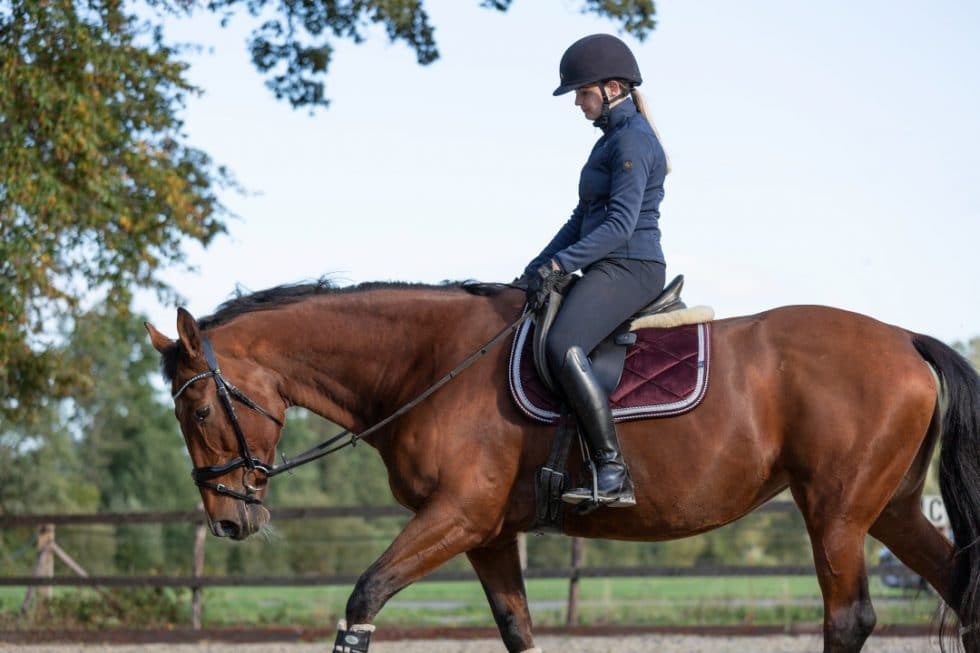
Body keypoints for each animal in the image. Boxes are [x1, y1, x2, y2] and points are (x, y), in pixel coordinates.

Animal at [144, 280, 980, 653]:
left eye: (198, 410)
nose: (229, 519)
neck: (428, 364)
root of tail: (907, 339)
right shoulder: (484, 533)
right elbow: (517, 629)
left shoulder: (456, 515)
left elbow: (363, 597)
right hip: (890, 510)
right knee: (963, 592)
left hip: (835, 511)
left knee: (850, 618)